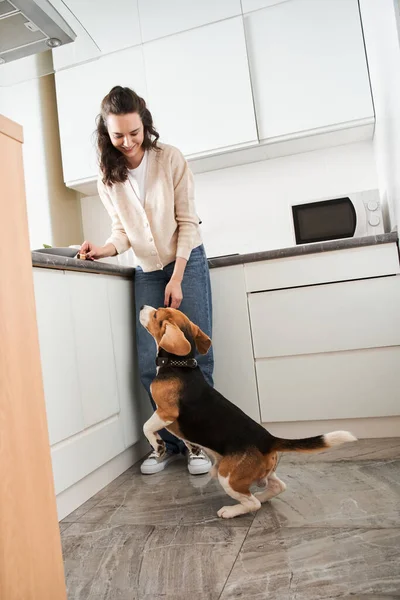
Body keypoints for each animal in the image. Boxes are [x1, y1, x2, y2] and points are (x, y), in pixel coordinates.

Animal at [140, 308, 356, 516]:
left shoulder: (166, 412)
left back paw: (232, 510)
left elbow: (146, 427)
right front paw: (191, 448)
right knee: (279, 486)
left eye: (156, 314)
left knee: (252, 503)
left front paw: (158, 445)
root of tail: (268, 439)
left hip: (228, 476)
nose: (142, 307)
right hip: (264, 472)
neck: (179, 365)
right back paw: (262, 495)